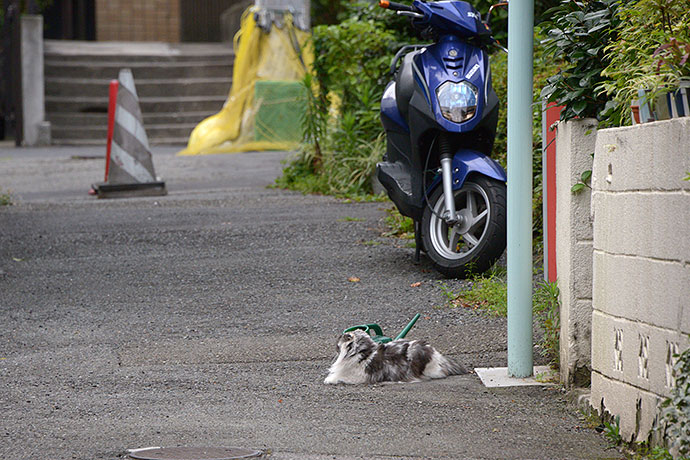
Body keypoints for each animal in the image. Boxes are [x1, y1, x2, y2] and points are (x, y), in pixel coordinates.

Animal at [324, 328, 464, 382]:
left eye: (340, 340)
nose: (338, 337)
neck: (363, 353)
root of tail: (439, 358)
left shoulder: (356, 376)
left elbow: (337, 378)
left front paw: (328, 380)